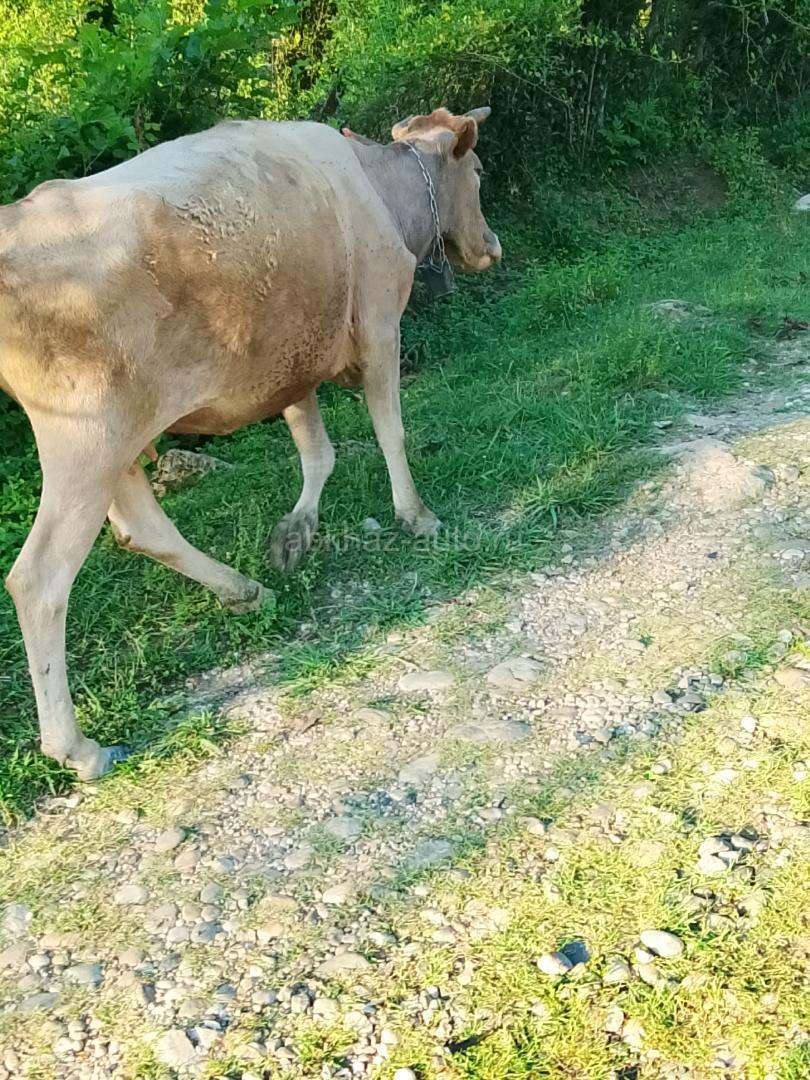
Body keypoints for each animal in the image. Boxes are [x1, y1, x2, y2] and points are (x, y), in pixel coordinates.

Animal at [0, 107, 501, 781]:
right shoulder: (377, 324)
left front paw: (296, 533)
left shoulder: (291, 358)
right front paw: (416, 515)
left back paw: (244, 591)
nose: (491, 246)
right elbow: (390, 430)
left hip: (119, 441)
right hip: (85, 437)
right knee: (39, 579)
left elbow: (317, 451)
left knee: (140, 529)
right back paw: (79, 749)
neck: (378, 185)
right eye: (478, 171)